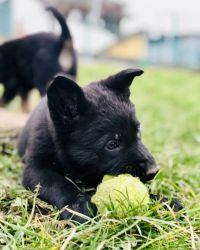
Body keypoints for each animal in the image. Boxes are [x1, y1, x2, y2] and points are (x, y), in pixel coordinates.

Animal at [18, 69, 182, 222]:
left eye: (138, 132)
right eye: (112, 144)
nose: (153, 171)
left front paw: (163, 201)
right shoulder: (35, 169)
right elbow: (57, 183)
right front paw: (78, 206)